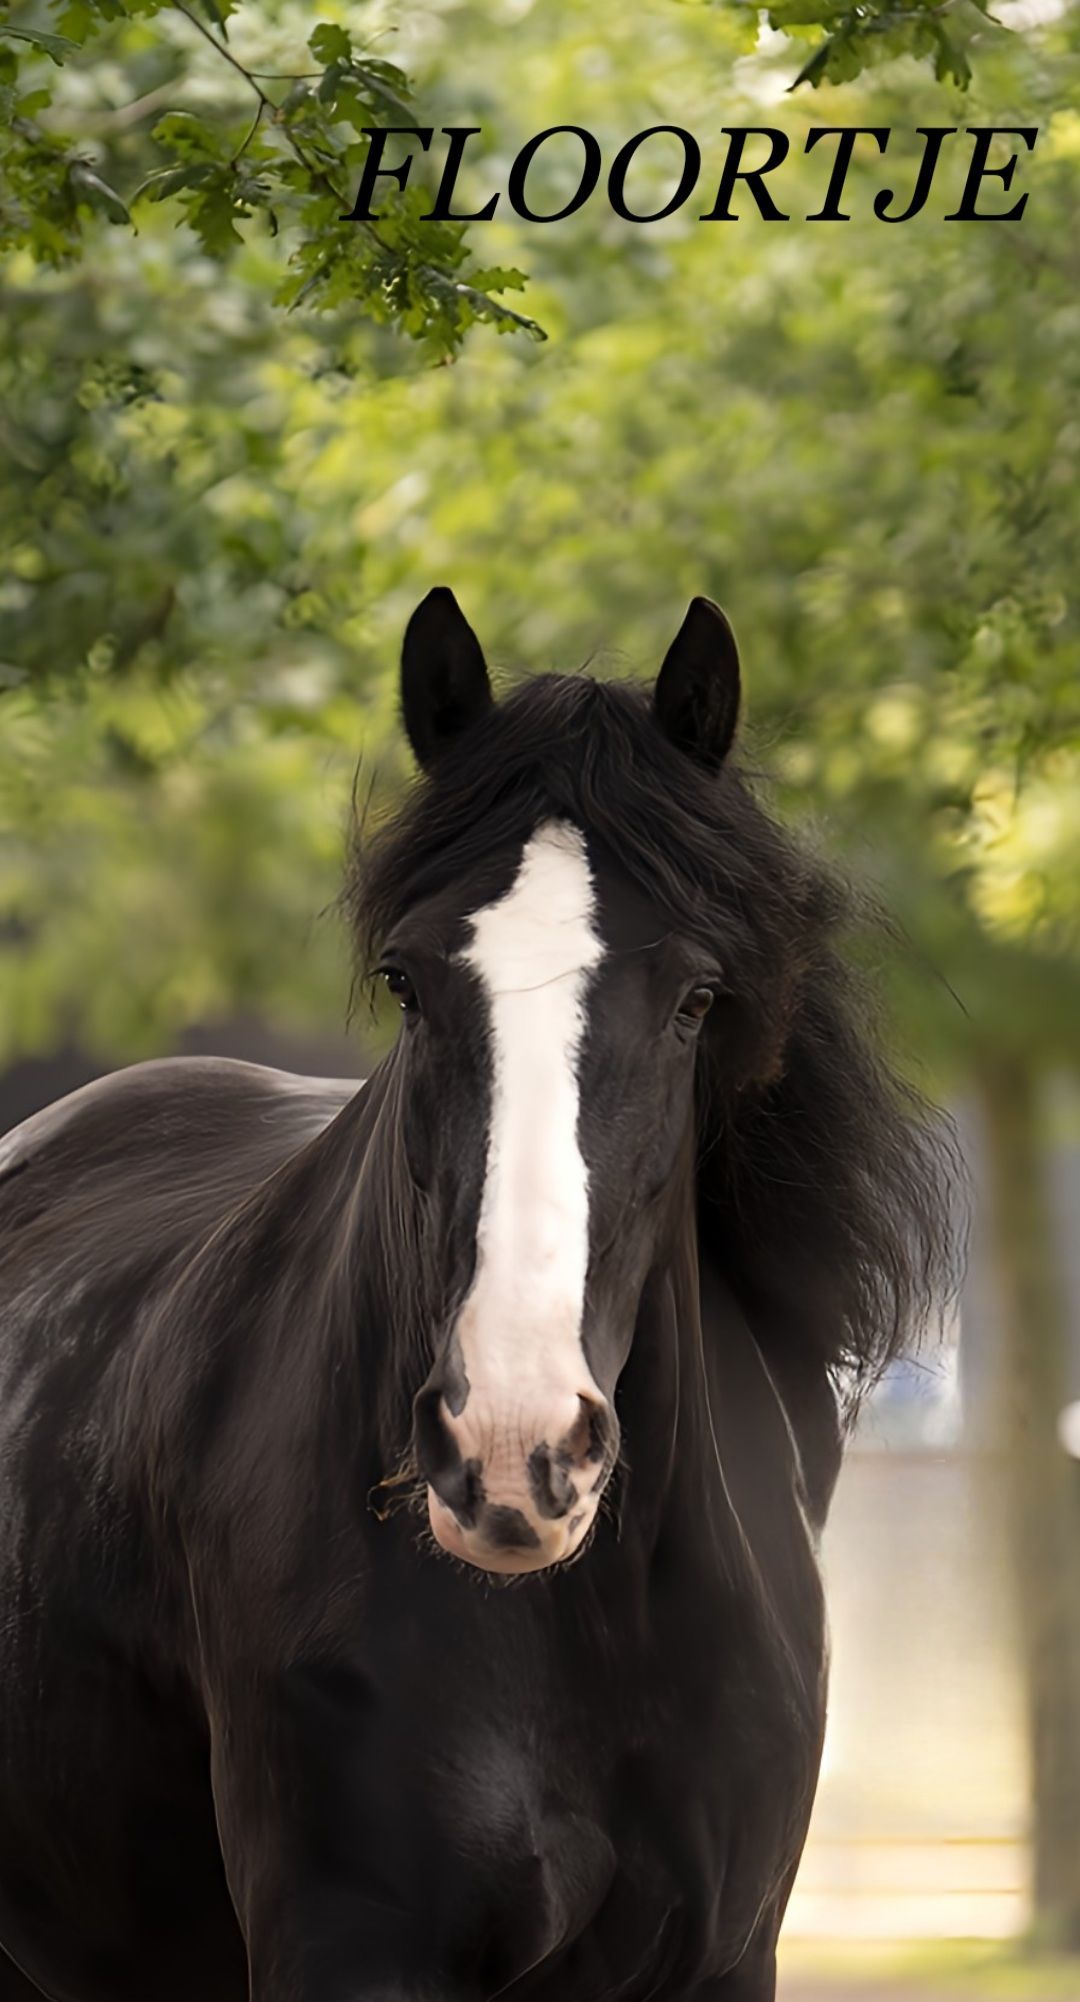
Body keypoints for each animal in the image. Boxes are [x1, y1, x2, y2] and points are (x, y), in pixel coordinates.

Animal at [0, 590, 954, 2002]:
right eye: (407, 979)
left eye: (698, 996)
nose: (512, 1448)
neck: (594, 1633)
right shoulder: (354, 1951)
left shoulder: (726, 1961)